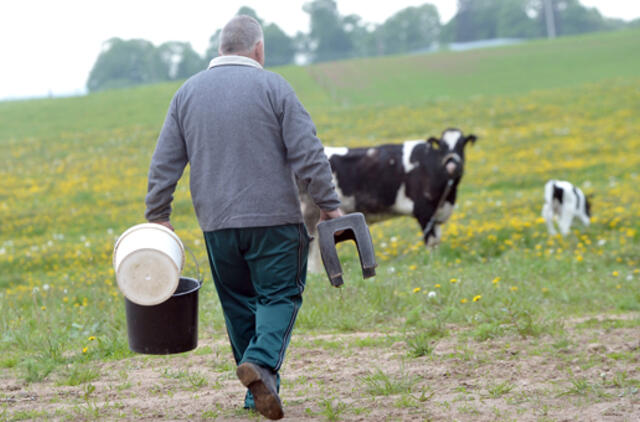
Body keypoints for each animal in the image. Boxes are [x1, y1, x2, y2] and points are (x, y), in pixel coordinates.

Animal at [302, 129, 478, 272]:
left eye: (461, 145)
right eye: (442, 146)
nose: (452, 166)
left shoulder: (436, 214)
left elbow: (436, 241)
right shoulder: (424, 211)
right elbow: (431, 241)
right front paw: (432, 262)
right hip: (309, 212)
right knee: (312, 244)